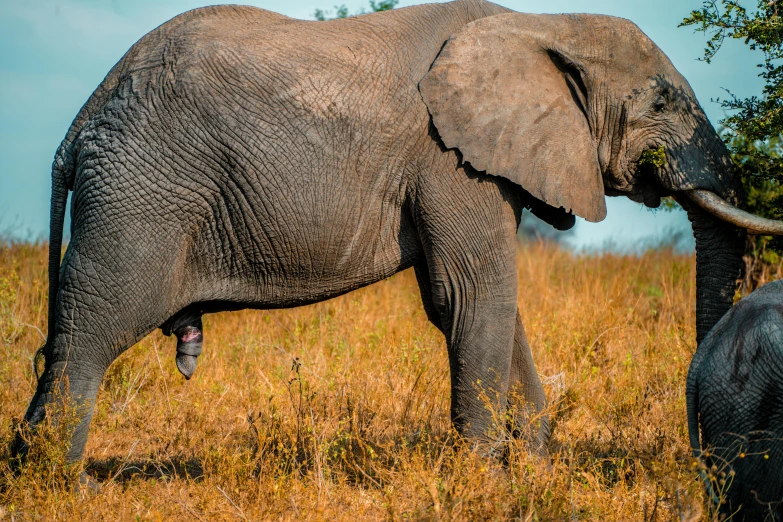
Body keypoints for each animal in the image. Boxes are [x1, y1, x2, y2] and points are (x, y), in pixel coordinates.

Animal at [13, 2, 783, 460]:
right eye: (664, 101)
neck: (539, 23)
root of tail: (80, 121)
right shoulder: (448, 159)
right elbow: (469, 298)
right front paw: (485, 476)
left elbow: (487, 305)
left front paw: (534, 466)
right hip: (140, 197)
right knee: (91, 335)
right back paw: (56, 485)